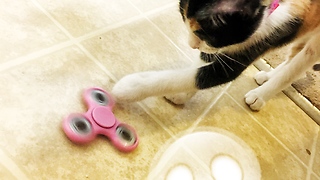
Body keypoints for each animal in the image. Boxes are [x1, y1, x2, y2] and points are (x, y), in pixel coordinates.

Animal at [112, 0, 320, 110]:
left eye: (202, 33)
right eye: (184, 19)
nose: (191, 45)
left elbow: (208, 75)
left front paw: (131, 87)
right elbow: (201, 63)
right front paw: (182, 95)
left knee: (301, 63)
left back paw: (259, 96)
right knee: (295, 57)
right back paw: (268, 76)